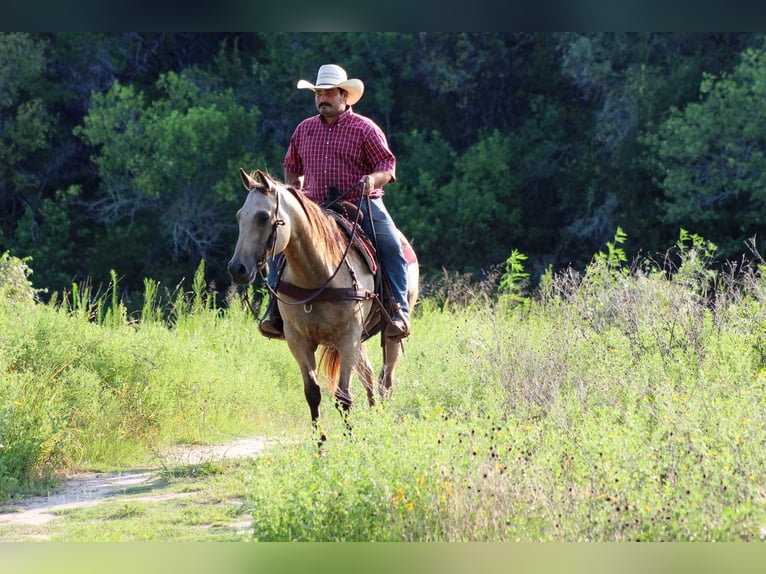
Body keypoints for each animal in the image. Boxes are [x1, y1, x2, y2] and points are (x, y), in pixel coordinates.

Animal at [227, 169, 419, 440]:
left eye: (264, 216)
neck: (317, 274)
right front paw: (320, 445)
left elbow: (343, 397)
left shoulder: (348, 338)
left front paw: (350, 444)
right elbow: (313, 394)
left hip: (388, 335)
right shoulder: (298, 340)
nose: (237, 269)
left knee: (385, 381)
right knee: (370, 377)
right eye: (239, 216)